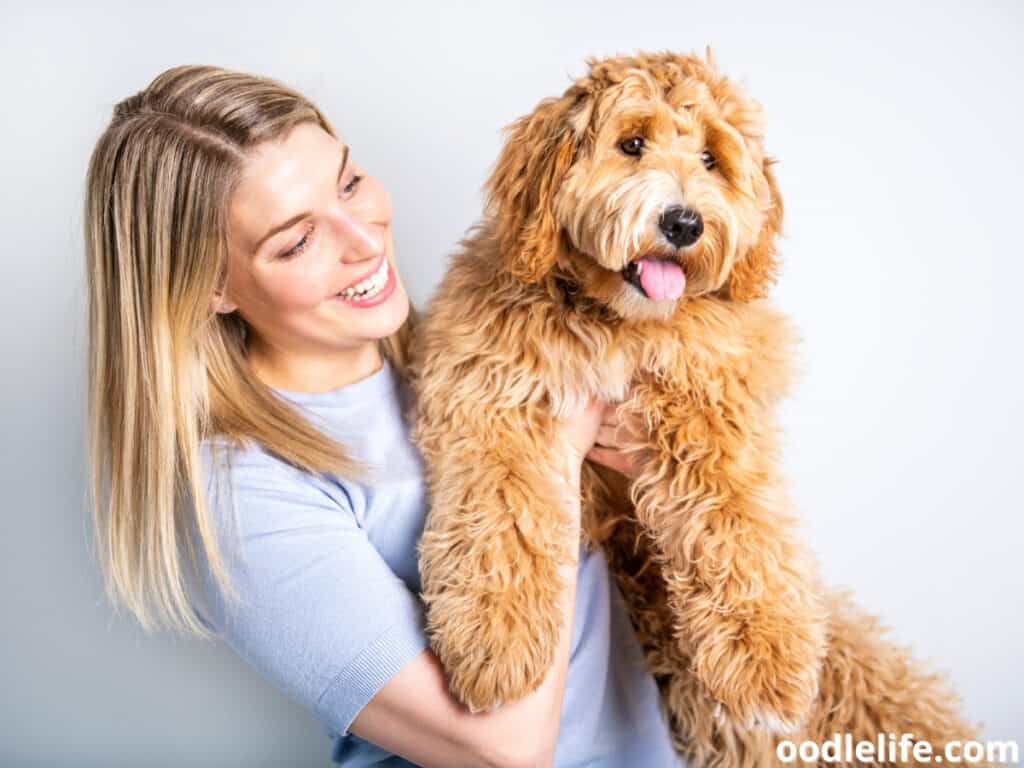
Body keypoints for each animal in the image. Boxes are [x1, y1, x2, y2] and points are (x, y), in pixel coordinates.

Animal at [405, 51, 983, 765]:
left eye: (711, 159)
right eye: (631, 144)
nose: (684, 223)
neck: (618, 324)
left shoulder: (712, 397)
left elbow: (736, 516)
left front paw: (766, 654)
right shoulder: (489, 393)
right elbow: (500, 513)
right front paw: (495, 642)